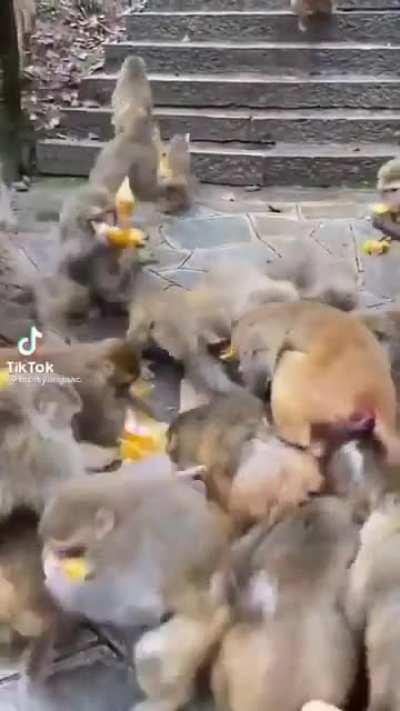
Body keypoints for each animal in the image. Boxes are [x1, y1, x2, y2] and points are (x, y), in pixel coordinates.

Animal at [40, 462, 231, 710]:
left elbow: (121, 604)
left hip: (200, 633)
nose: (54, 556)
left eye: (72, 550)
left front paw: (55, 576)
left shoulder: (126, 555)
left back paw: (169, 698)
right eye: (53, 546)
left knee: (152, 652)